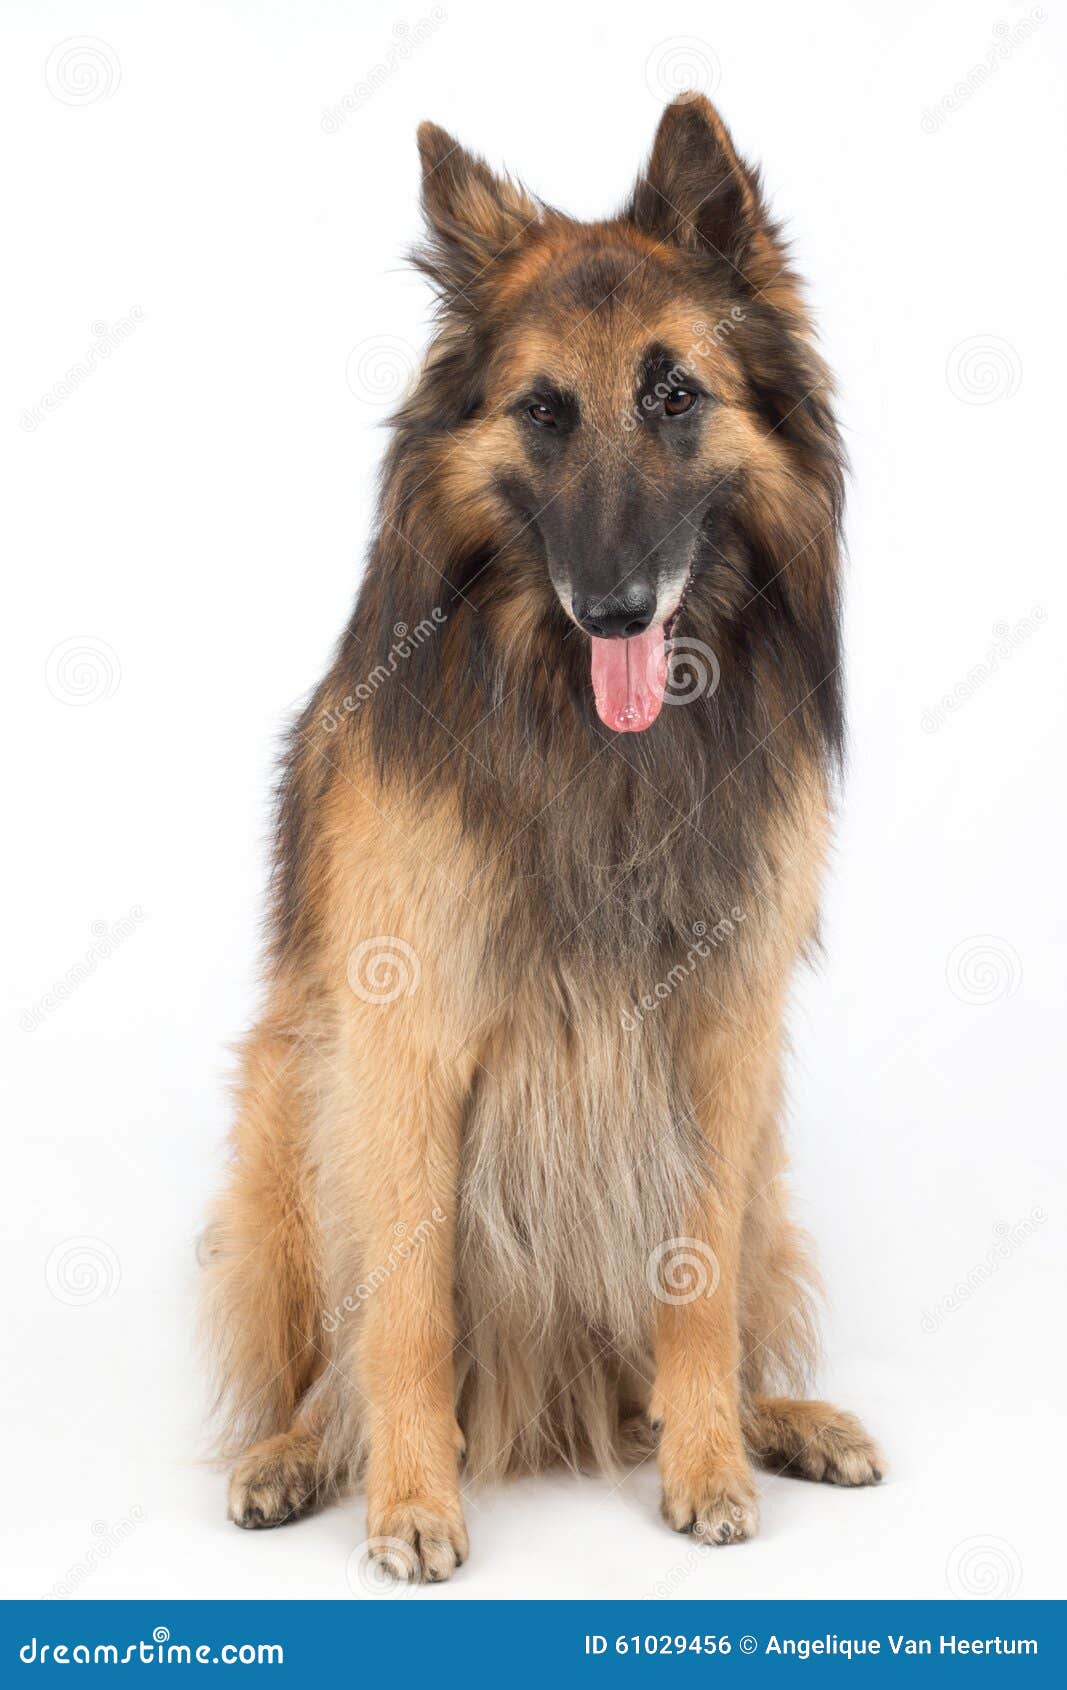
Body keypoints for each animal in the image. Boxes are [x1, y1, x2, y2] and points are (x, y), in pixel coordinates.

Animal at [202, 95, 886, 1581]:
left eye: (674, 394)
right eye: (540, 412)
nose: (615, 607)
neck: (594, 741)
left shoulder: (719, 1038)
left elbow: (697, 1288)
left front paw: (708, 1460)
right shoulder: (404, 1044)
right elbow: (402, 1309)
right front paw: (410, 1496)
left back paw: (774, 1416)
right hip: (290, 1105)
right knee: (330, 1353)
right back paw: (301, 1451)